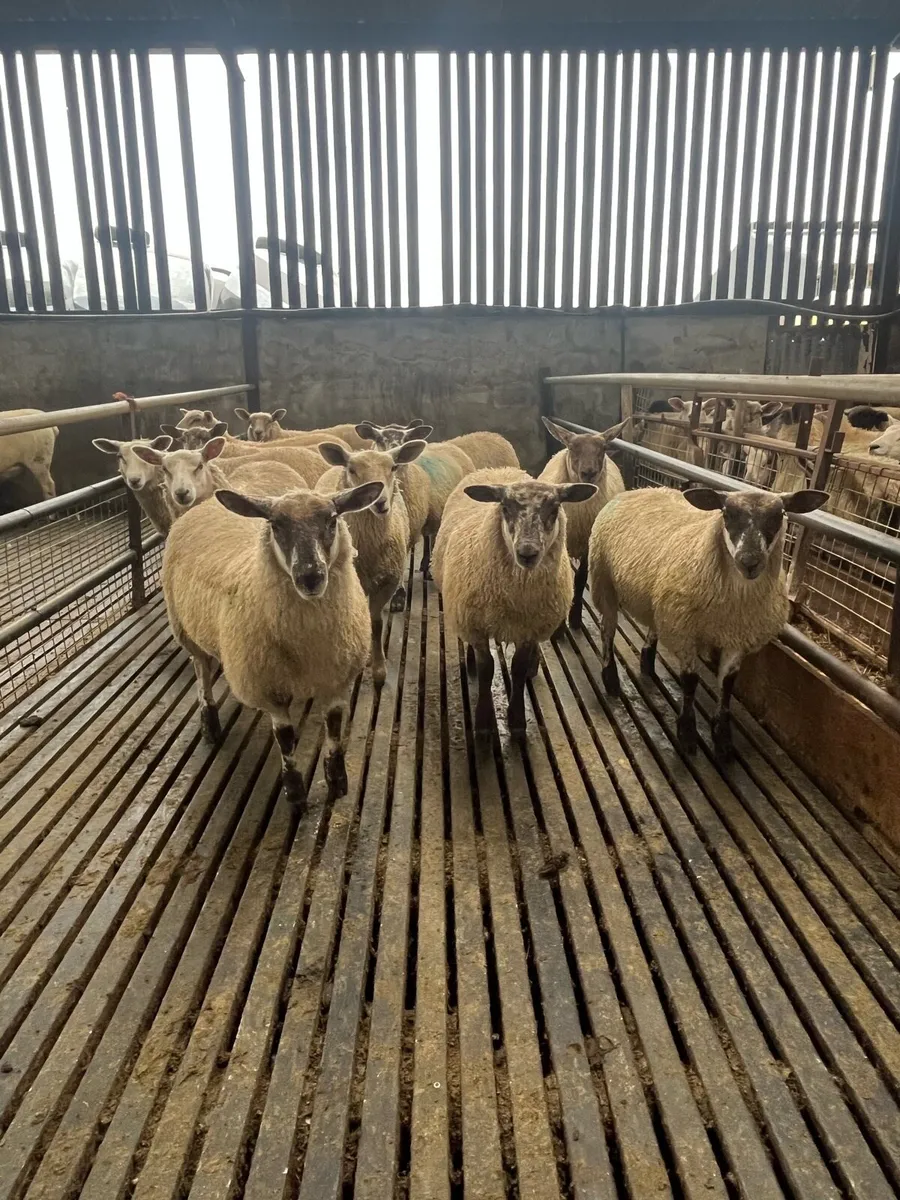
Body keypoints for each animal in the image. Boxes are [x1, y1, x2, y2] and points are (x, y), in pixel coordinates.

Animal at [161, 477, 385, 806]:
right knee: (201, 672)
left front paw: (337, 782)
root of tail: (207, 503)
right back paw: (210, 725)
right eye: (276, 526)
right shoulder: (270, 689)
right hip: (185, 631)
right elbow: (286, 738)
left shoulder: (336, 677)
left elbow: (333, 729)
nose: (310, 577)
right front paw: (294, 792)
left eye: (332, 521)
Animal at [315, 439, 427, 684]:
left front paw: (378, 668)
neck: (368, 550)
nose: (380, 502)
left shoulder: (388, 581)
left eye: (393, 467)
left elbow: (375, 623)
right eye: (352, 470)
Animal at [432, 467, 596, 737]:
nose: (527, 553)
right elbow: (487, 669)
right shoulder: (477, 625)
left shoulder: (529, 627)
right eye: (505, 507)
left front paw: (517, 719)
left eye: (555, 508)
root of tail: (497, 470)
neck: (517, 595)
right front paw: (484, 721)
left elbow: (518, 669)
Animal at [539, 416, 628, 629]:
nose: (589, 472)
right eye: (572, 447)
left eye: (603, 447)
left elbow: (580, 579)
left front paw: (575, 618)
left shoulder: (589, 545)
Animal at [588, 485, 828, 760]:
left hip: (659, 600)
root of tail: (640, 489)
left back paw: (647, 664)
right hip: (604, 581)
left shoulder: (737, 637)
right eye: (727, 514)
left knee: (653, 626)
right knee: (607, 630)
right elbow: (691, 681)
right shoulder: (686, 632)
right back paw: (611, 680)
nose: (749, 562)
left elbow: (728, 683)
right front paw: (687, 733)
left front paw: (723, 739)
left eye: (778, 516)